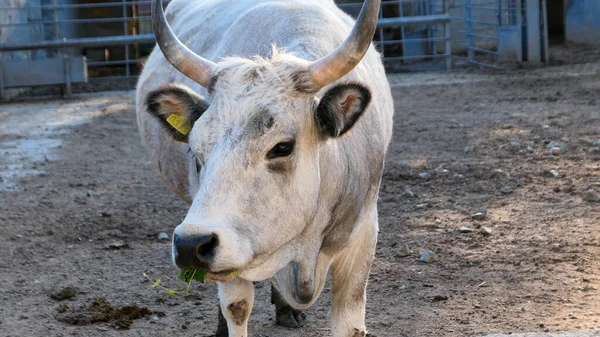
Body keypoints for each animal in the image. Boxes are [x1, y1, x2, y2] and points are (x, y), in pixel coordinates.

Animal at [136, 0, 394, 334]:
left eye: (282, 147)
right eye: (195, 151)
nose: (191, 245)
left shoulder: (363, 237)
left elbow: (348, 322)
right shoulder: (234, 257)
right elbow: (237, 308)